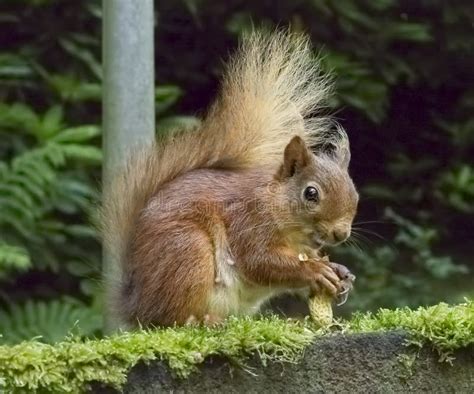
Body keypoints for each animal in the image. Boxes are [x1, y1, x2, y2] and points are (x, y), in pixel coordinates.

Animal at [102, 30, 358, 328]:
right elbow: (260, 261)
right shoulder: (248, 221)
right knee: (171, 318)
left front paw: (341, 272)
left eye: (355, 194)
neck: (275, 203)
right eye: (311, 193)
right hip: (189, 252)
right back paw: (203, 321)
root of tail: (137, 305)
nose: (341, 233)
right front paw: (314, 270)